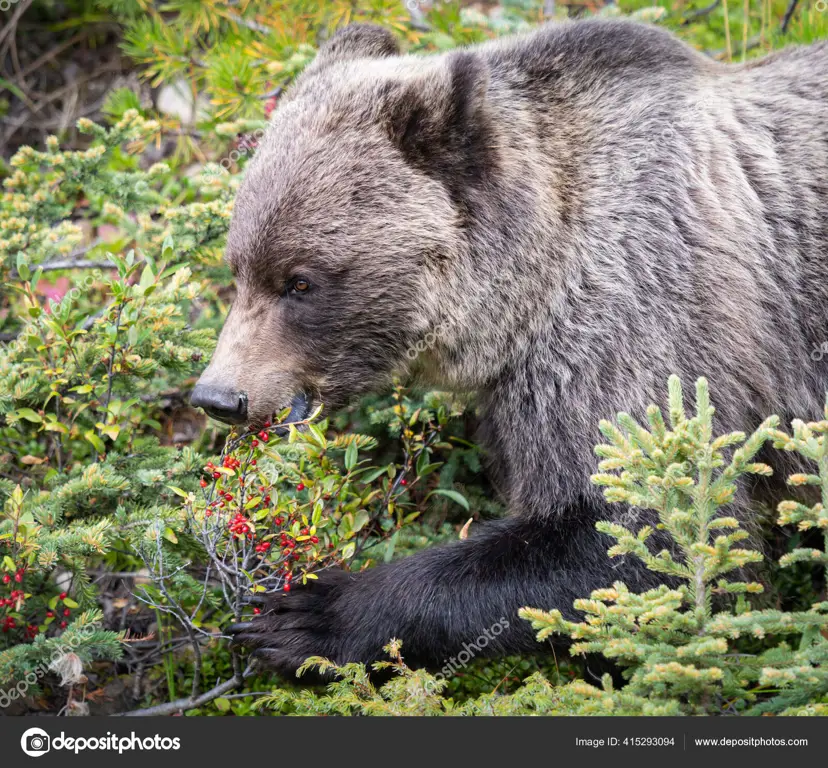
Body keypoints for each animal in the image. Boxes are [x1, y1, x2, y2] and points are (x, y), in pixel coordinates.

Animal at [189, 21, 828, 676]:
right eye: (239, 269)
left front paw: (310, 614)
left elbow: (646, 537)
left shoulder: (640, 319)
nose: (220, 396)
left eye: (300, 281)